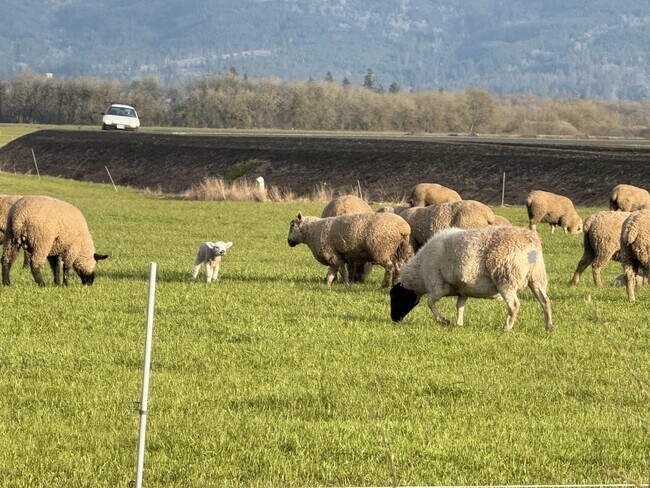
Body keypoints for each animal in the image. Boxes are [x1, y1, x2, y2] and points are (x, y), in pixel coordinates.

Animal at [390, 226, 552, 331]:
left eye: (395, 296)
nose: (393, 319)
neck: (419, 274)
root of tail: (531, 241)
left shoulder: (437, 286)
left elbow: (430, 303)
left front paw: (443, 321)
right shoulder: (463, 290)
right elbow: (460, 306)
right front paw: (459, 324)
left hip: (506, 277)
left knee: (514, 305)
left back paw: (506, 328)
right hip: (536, 277)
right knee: (545, 301)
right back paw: (548, 326)